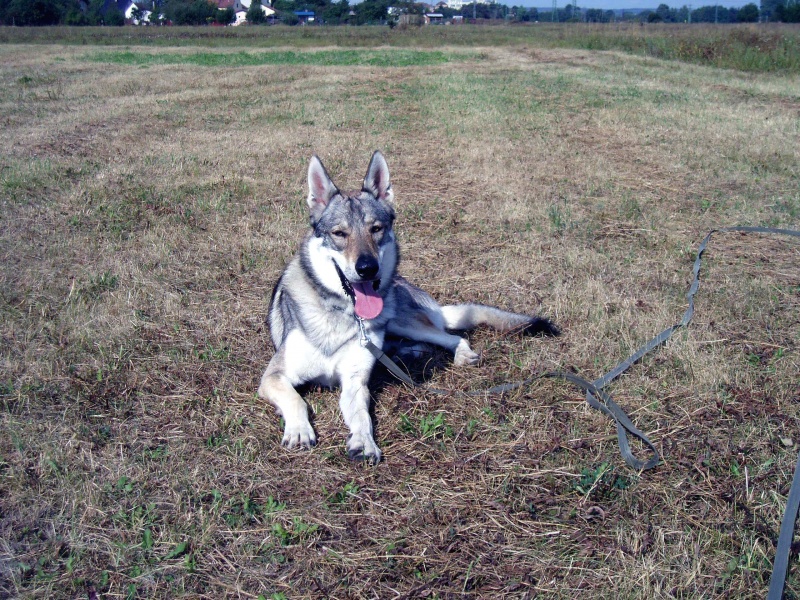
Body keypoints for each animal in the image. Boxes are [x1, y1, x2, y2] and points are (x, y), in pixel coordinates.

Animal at [260, 152, 560, 462]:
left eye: (376, 229)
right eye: (339, 233)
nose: (367, 268)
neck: (341, 314)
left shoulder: (355, 382)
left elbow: (363, 418)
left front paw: (365, 442)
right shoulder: (273, 377)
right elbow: (297, 400)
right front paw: (299, 430)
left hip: (402, 322)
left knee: (452, 337)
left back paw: (455, 354)